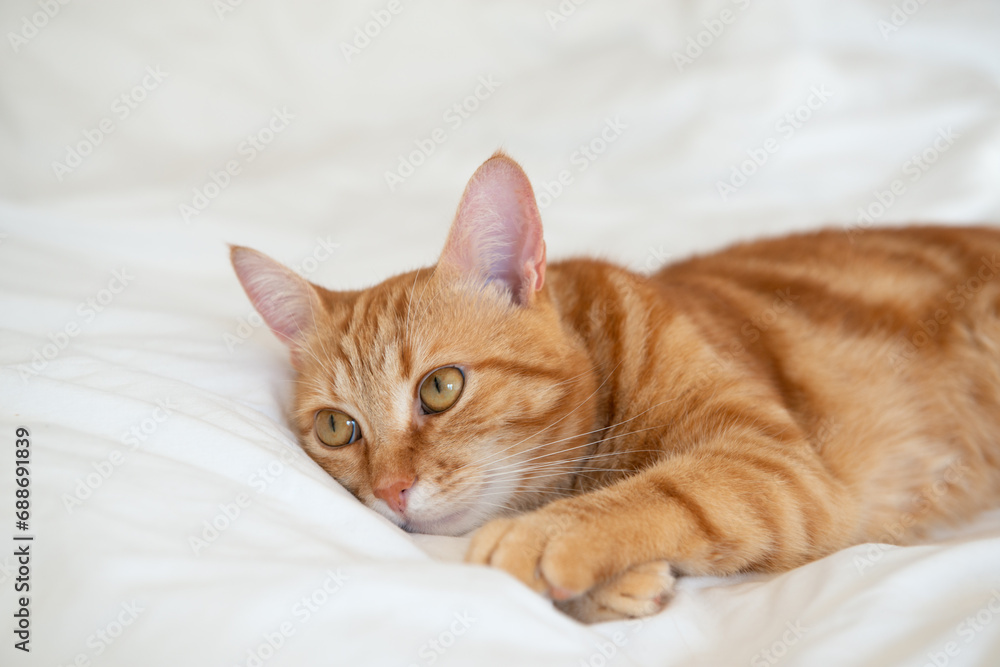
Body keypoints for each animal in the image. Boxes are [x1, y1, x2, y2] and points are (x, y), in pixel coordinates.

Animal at [230, 154, 1000, 624]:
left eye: (441, 387)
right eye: (337, 428)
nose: (391, 491)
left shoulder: (778, 465)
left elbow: (670, 489)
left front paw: (545, 536)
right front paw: (620, 583)